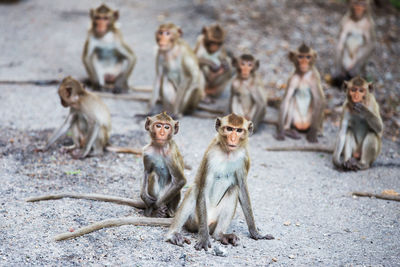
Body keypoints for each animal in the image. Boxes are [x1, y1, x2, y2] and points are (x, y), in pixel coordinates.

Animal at [164, 113, 274, 251]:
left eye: (239, 130)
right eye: (229, 129)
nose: (233, 138)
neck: (228, 153)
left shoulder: (244, 158)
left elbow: (242, 188)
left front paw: (255, 233)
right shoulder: (210, 156)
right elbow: (203, 189)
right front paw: (204, 239)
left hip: (214, 221)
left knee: (234, 189)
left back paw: (220, 235)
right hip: (195, 220)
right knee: (195, 189)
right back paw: (173, 234)